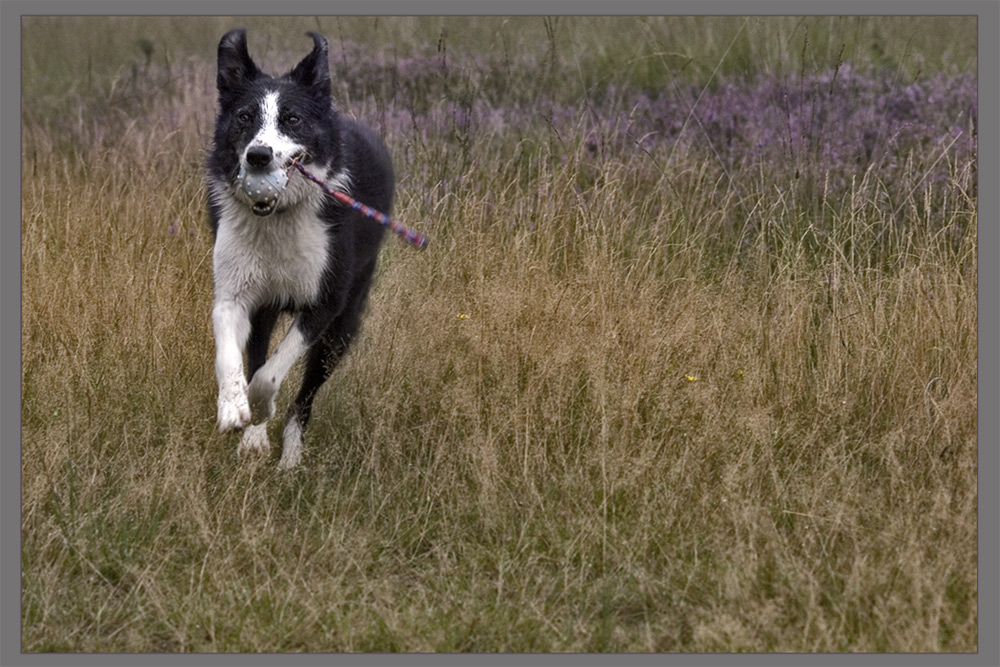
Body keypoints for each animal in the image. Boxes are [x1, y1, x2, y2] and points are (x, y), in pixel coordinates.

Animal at [206, 30, 390, 470]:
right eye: (244, 117)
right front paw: (235, 410)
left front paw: (260, 408)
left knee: (304, 398)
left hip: (341, 330)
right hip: (267, 311)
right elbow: (232, 358)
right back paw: (255, 440)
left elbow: (270, 376)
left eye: (292, 119)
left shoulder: (325, 303)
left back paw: (290, 456)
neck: (277, 218)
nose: (258, 155)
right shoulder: (236, 297)